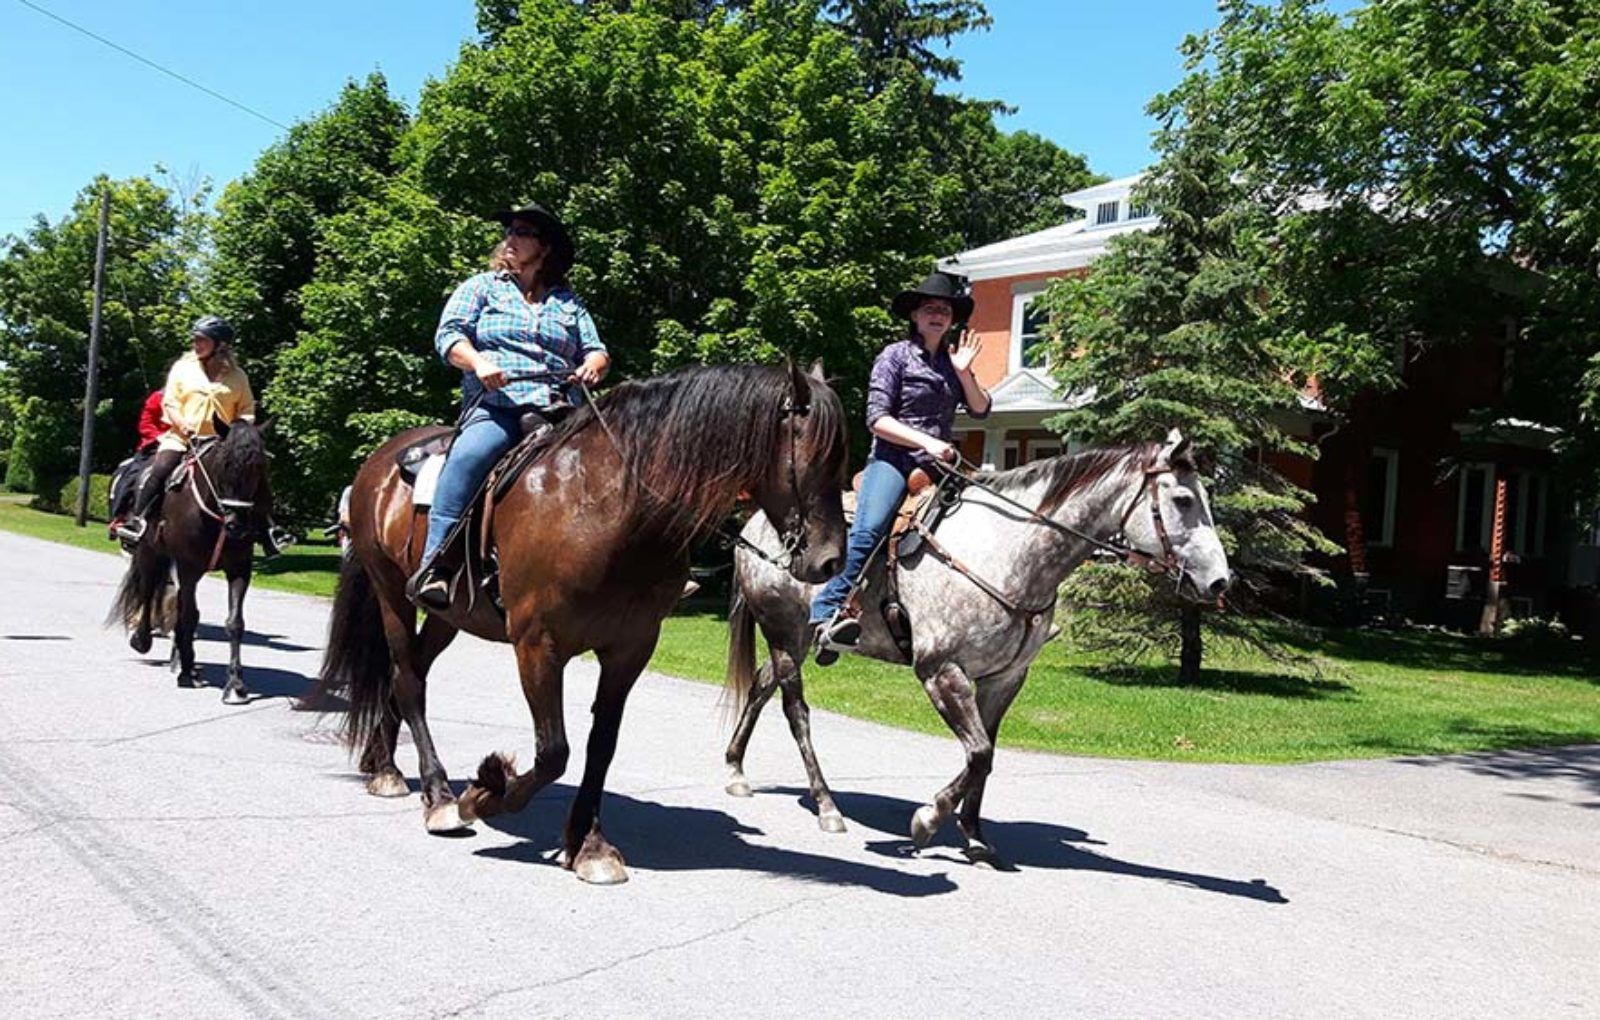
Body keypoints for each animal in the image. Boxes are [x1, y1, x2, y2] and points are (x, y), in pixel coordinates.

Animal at [109, 419, 273, 705]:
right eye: (224, 463)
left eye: (259, 467)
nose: (237, 525)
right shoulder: (188, 567)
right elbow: (189, 616)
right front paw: (186, 672)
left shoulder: (239, 569)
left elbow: (234, 623)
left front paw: (235, 684)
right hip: (150, 552)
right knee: (149, 591)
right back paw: (144, 641)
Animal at [308, 362, 848, 884]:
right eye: (815, 456)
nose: (829, 562)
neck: (605, 509)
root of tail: (379, 464)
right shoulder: (538, 645)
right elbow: (554, 752)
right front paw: (483, 793)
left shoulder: (630, 648)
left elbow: (600, 746)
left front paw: (588, 846)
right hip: (390, 593)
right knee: (407, 679)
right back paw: (437, 795)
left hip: (450, 614)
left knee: (412, 673)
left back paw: (383, 764)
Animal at [723, 430, 1231, 865]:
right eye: (1183, 500)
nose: (1220, 581)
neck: (1008, 552)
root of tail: (754, 526)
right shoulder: (940, 670)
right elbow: (980, 752)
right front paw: (927, 821)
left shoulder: (1005, 678)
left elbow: (985, 755)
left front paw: (974, 836)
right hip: (785, 634)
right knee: (796, 712)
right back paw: (827, 805)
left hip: (790, 641)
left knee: (761, 687)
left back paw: (736, 771)